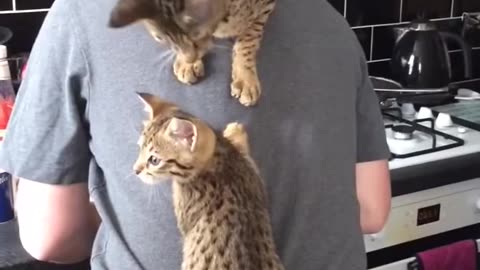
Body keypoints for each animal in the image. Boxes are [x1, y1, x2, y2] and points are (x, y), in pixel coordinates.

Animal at [108, 0, 274, 107]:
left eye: (197, 34)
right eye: (160, 39)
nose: (190, 58)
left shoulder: (265, 6)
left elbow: (249, 38)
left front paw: (246, 78)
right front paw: (186, 64)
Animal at [131, 92, 284, 270]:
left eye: (154, 160)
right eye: (139, 148)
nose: (135, 170)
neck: (216, 158)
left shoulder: (184, 220)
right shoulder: (254, 176)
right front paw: (235, 133)